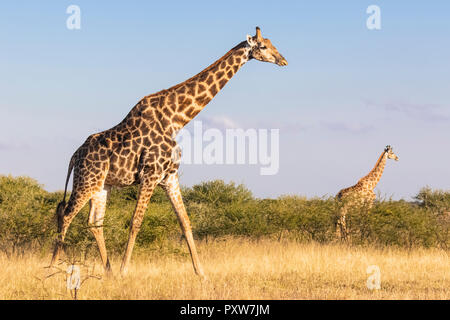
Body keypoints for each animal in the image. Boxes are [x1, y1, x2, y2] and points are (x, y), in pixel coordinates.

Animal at [50, 26, 288, 278]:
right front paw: (125, 271)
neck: (176, 119)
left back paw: (108, 271)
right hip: (86, 181)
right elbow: (136, 222)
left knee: (94, 222)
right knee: (66, 214)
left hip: (101, 185)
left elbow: (185, 221)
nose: (283, 60)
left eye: (272, 44)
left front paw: (201, 273)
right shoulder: (150, 174)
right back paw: (53, 267)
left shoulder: (169, 176)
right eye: (263, 46)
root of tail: (74, 156)